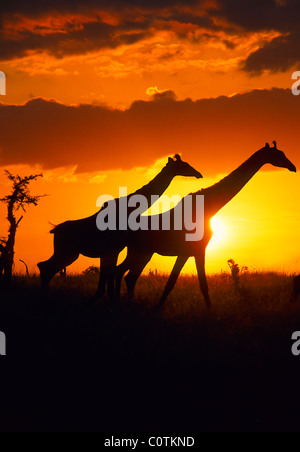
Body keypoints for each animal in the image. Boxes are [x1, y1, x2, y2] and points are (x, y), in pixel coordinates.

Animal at [37, 155, 202, 300]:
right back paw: (44, 298)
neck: (129, 209)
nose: (198, 174)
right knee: (45, 267)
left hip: (68, 253)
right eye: (183, 165)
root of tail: (55, 230)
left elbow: (104, 283)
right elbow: (107, 283)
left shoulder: (110, 251)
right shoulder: (111, 250)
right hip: (68, 252)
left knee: (45, 267)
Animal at [116, 142, 296, 308]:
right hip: (140, 252)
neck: (208, 207)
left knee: (128, 276)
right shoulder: (197, 249)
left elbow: (178, 284)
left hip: (144, 253)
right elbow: (196, 285)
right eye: (279, 154)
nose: (293, 167)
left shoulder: (189, 252)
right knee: (122, 272)